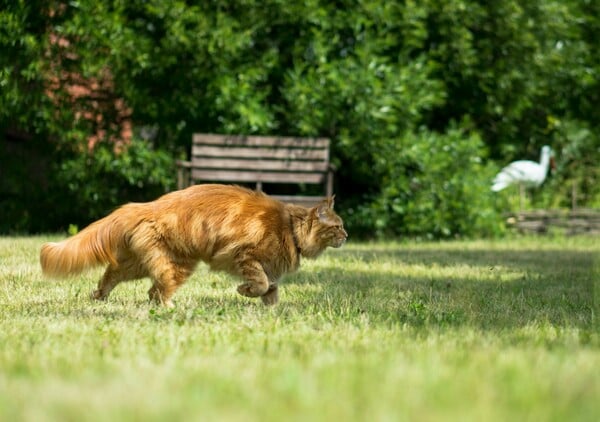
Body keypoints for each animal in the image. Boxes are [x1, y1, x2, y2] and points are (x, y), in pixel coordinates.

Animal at [39, 185, 346, 306]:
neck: (290, 229)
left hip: (140, 264)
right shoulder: (246, 256)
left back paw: (99, 297)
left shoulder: (267, 269)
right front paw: (245, 291)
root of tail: (145, 205)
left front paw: (269, 309)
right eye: (338, 226)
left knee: (114, 277)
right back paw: (169, 307)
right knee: (158, 291)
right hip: (178, 266)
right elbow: (260, 283)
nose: (347, 235)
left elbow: (271, 289)